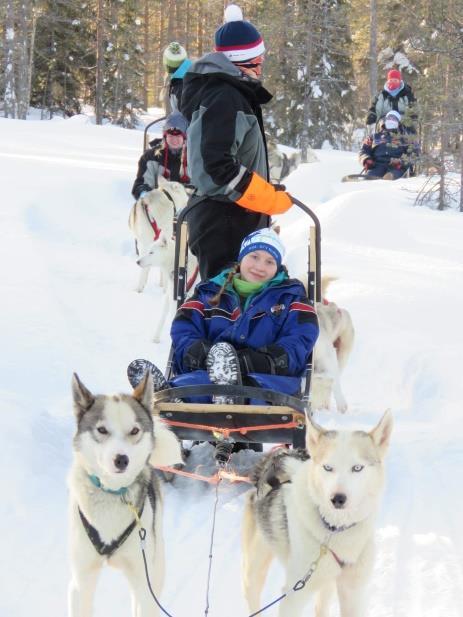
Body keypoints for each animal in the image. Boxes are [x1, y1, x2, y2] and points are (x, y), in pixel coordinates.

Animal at [68, 370, 182, 616]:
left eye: (134, 431)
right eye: (102, 430)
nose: (121, 459)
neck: (112, 492)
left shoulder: (144, 582)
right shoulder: (82, 581)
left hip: (153, 571)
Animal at [243, 410, 396, 616]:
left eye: (357, 468)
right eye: (328, 467)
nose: (337, 499)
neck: (335, 530)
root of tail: (276, 457)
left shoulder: (352, 591)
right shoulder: (294, 596)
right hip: (256, 569)